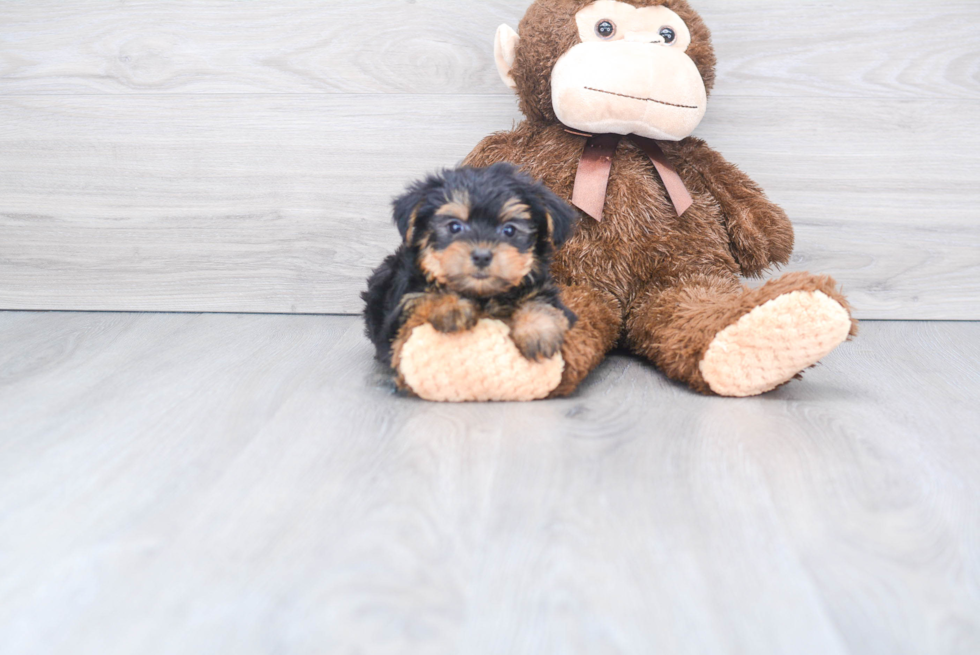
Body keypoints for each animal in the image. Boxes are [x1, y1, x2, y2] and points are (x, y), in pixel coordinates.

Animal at [364, 162, 580, 372]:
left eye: (509, 230)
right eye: (454, 227)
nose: (482, 256)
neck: (481, 294)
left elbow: (542, 301)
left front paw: (538, 331)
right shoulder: (397, 315)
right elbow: (425, 295)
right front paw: (451, 307)